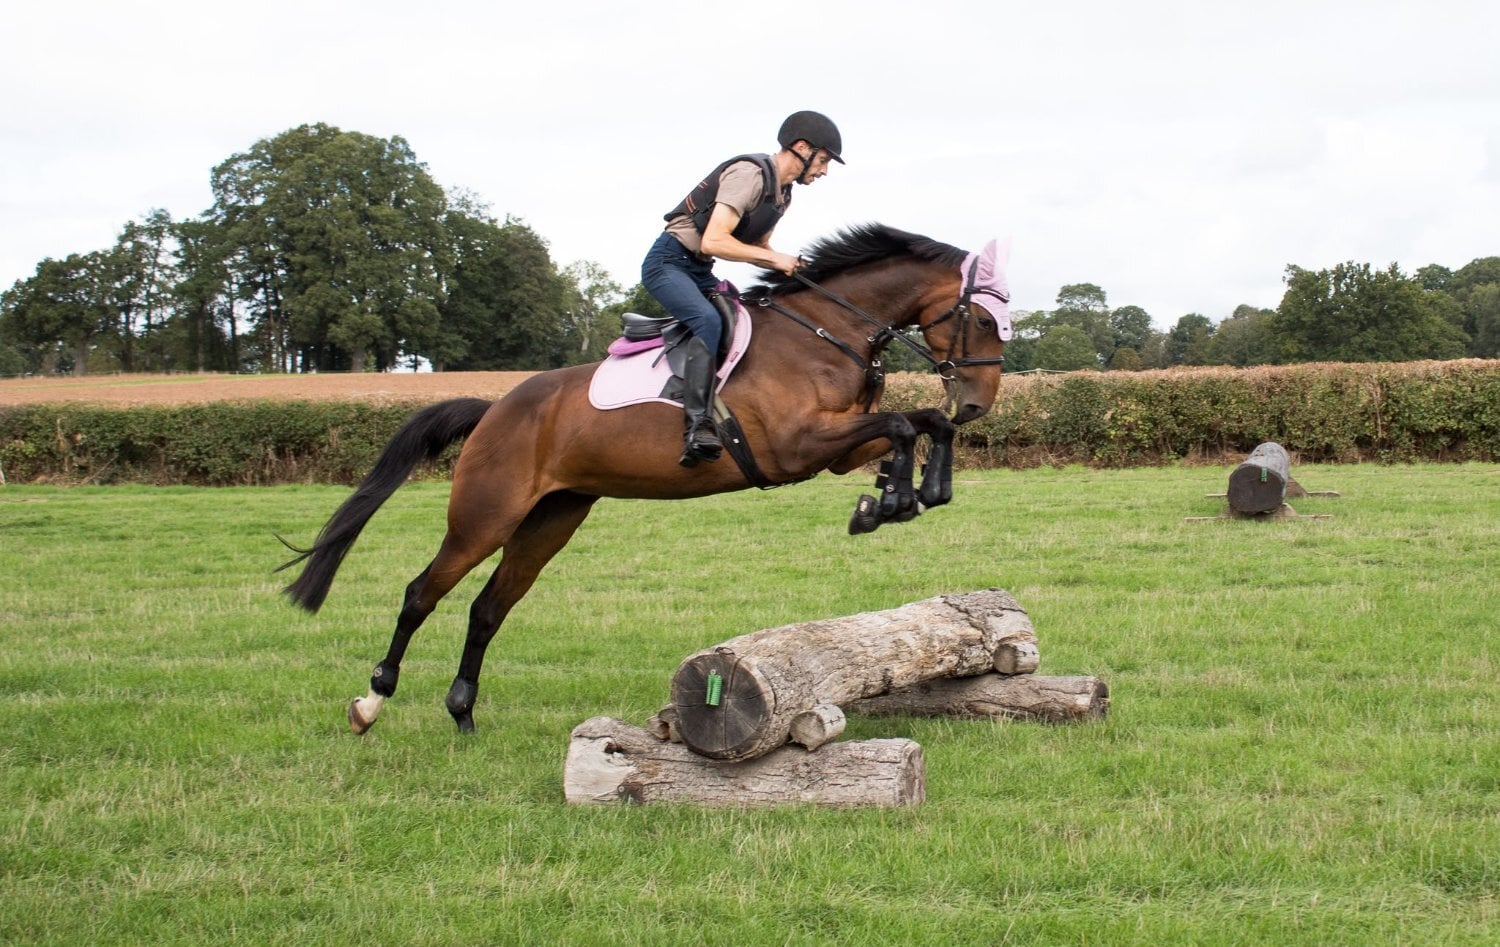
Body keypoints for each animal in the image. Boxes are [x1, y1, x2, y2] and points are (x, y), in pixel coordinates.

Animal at [279, 222, 1012, 734]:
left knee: (488, 608)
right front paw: (896, 498)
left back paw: (462, 711)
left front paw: (898, 497)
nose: (979, 404)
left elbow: (918, 423)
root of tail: (495, 410)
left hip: (552, 517)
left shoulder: (833, 445)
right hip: (485, 516)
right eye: (980, 319)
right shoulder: (796, 446)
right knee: (420, 594)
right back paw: (371, 701)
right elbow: (905, 423)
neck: (824, 332)